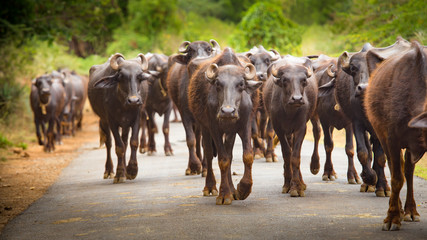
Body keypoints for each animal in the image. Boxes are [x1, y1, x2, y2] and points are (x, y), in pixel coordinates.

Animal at [167, 39, 221, 176]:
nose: (199, 61)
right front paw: (194, 165)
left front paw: (205, 167)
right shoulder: (184, 115)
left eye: (209, 49)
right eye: (190, 50)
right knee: (195, 138)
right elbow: (190, 140)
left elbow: (204, 143)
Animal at [189, 47, 262, 205]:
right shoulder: (214, 128)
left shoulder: (245, 125)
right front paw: (224, 194)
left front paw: (242, 189)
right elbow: (223, 160)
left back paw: (233, 190)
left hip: (230, 132)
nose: (228, 112)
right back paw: (210, 187)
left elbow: (247, 155)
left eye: (241, 84)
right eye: (218, 83)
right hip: (205, 128)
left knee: (229, 153)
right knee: (209, 154)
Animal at [264, 55, 318, 198]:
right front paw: (288, 185)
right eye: (285, 80)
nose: (297, 99)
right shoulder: (279, 129)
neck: (289, 111)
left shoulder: (301, 128)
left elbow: (295, 156)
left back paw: (301, 183)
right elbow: (287, 154)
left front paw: (296, 187)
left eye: (303, 80)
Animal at [312, 54, 360, 184]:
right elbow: (328, 145)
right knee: (317, 134)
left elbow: (350, 148)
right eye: (340, 78)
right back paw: (315, 166)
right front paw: (327, 173)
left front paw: (353, 175)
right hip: (314, 117)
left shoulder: (350, 124)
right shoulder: (324, 121)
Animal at [364, 40, 427, 231]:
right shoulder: (391, 139)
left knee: (408, 171)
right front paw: (392, 217)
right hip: (383, 137)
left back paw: (411, 211)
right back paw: (399, 209)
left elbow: (405, 173)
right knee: (395, 169)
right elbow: (396, 178)